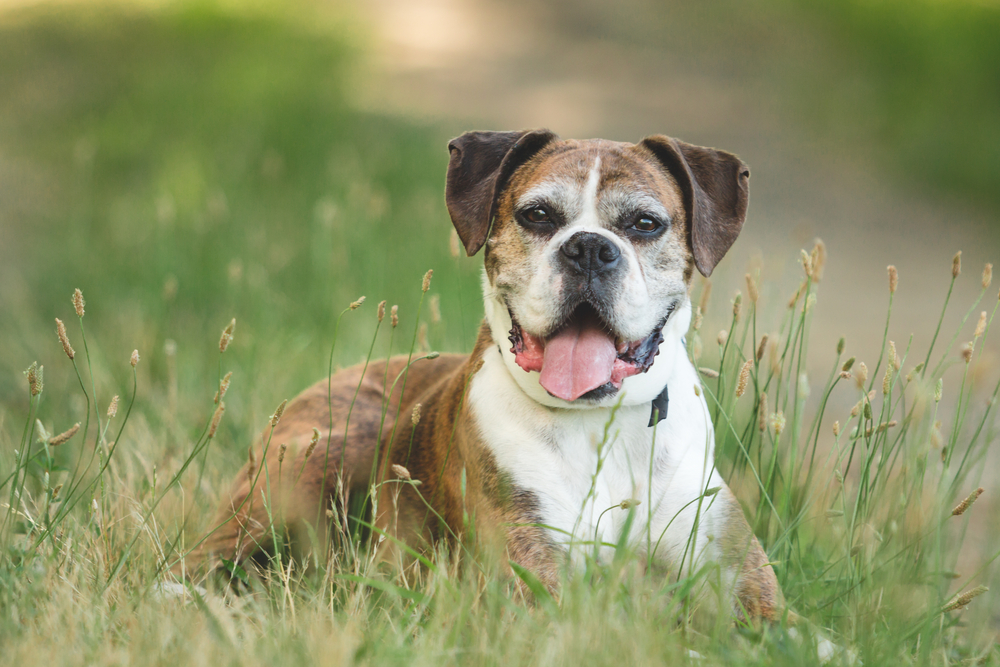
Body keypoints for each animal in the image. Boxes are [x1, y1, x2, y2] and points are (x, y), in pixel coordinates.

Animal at [188, 129, 780, 628]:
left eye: (645, 224)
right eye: (537, 215)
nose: (589, 248)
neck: (598, 422)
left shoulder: (749, 590)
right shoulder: (531, 588)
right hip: (323, 456)